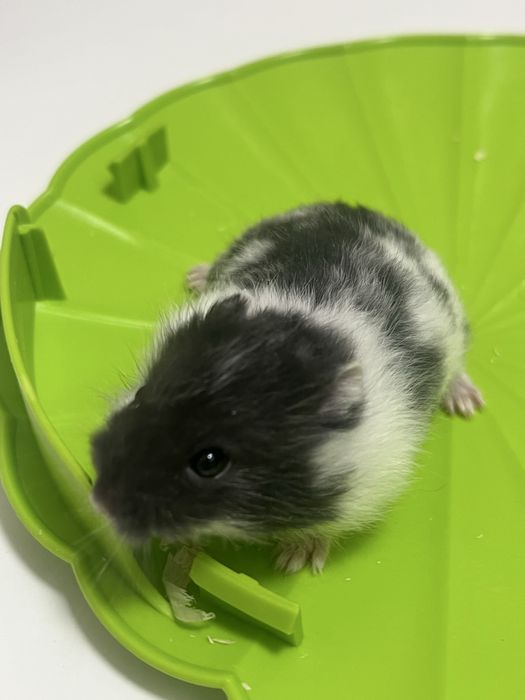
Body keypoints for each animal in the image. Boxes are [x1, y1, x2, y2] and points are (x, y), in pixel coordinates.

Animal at [91, 202, 484, 574]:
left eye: (209, 462)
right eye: (140, 394)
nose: (98, 502)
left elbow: (321, 530)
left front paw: (294, 562)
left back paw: (467, 404)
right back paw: (195, 275)